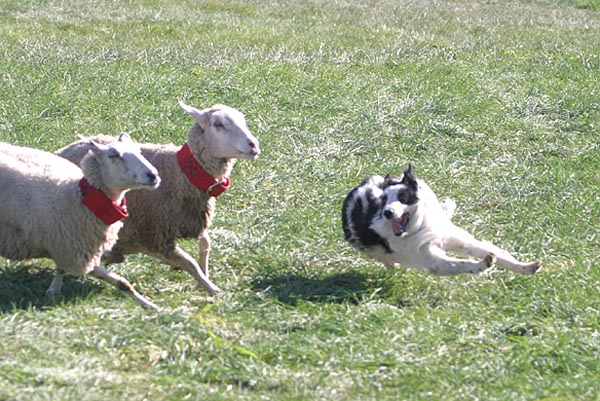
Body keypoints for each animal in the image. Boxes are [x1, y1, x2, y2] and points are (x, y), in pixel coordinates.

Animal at [0, 133, 162, 308]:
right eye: (113, 155)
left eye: (139, 151)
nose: (153, 175)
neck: (79, 198)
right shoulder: (76, 254)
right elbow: (119, 281)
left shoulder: (70, 248)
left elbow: (122, 283)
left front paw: (151, 306)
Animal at [56, 100, 260, 294]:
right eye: (218, 124)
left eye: (243, 120)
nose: (254, 145)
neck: (179, 173)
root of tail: (62, 150)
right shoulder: (158, 234)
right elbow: (190, 263)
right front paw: (212, 289)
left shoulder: (190, 221)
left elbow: (205, 243)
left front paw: (204, 278)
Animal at [342, 163, 544, 276]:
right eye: (383, 200)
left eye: (403, 196)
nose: (387, 213)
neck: (418, 227)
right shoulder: (431, 259)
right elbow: (461, 264)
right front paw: (484, 264)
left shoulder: (458, 240)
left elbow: (499, 255)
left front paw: (527, 267)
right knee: (385, 259)